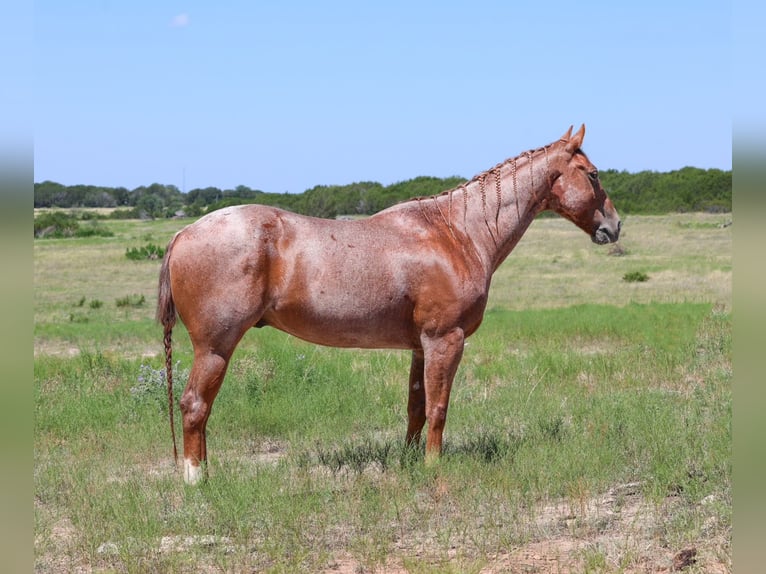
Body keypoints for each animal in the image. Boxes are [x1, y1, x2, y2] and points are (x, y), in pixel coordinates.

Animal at [157, 125, 621, 484]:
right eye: (593, 174)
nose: (614, 227)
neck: (456, 232)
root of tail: (182, 234)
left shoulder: (420, 345)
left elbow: (416, 407)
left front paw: (411, 462)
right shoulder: (444, 339)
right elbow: (438, 407)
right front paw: (433, 468)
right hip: (215, 348)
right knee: (194, 406)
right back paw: (196, 481)